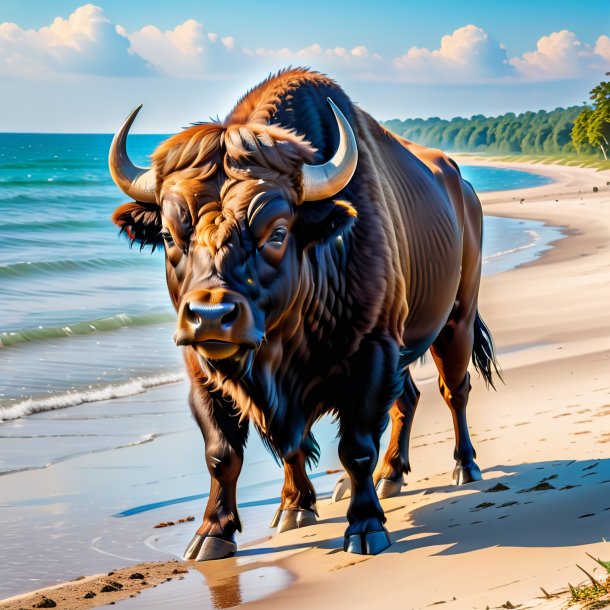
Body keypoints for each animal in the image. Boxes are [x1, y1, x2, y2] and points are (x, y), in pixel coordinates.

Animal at [109, 66, 498, 556]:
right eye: (166, 234)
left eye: (277, 232)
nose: (211, 316)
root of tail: (462, 188)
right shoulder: (204, 369)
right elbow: (227, 452)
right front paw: (231, 526)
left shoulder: (372, 352)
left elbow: (356, 446)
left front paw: (365, 526)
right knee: (407, 399)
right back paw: (389, 477)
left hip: (456, 320)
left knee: (453, 390)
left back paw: (464, 466)